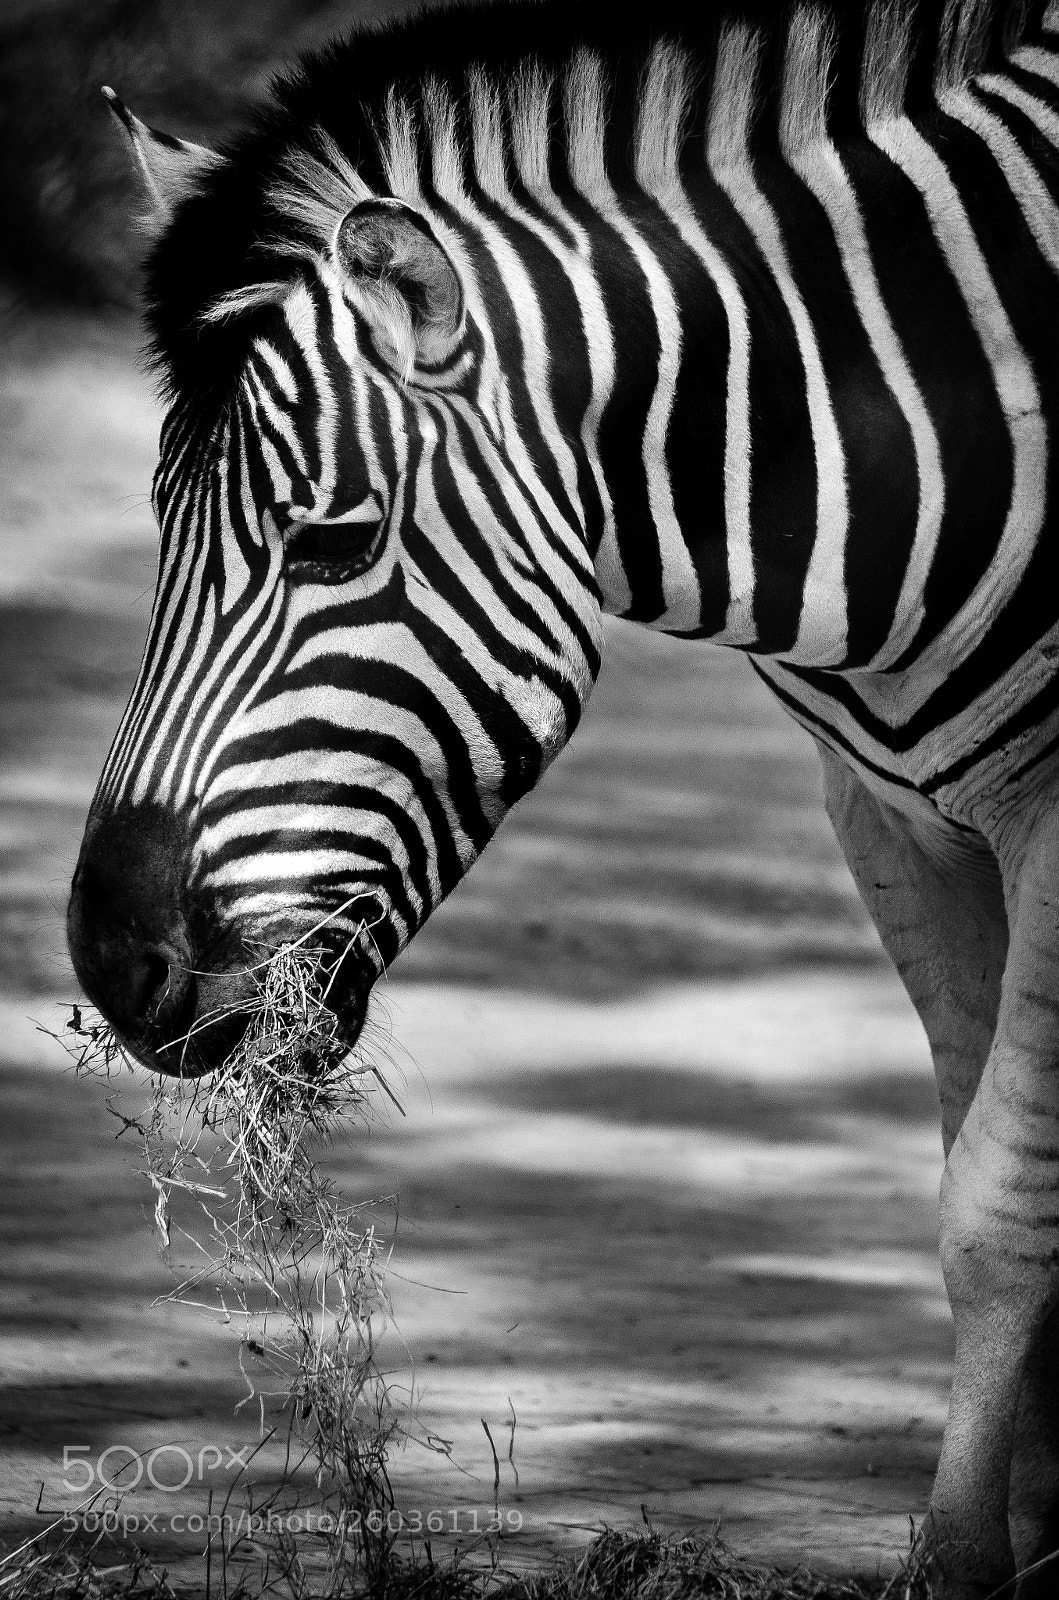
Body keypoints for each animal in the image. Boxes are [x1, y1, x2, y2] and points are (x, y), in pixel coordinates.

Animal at [65, 0, 1059, 1591]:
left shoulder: (1048, 814)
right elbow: (982, 1156)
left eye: (335, 542)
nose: (116, 965)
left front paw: (962, 1558)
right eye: (155, 526)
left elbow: (997, 1207)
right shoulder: (894, 812)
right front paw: (1027, 1524)